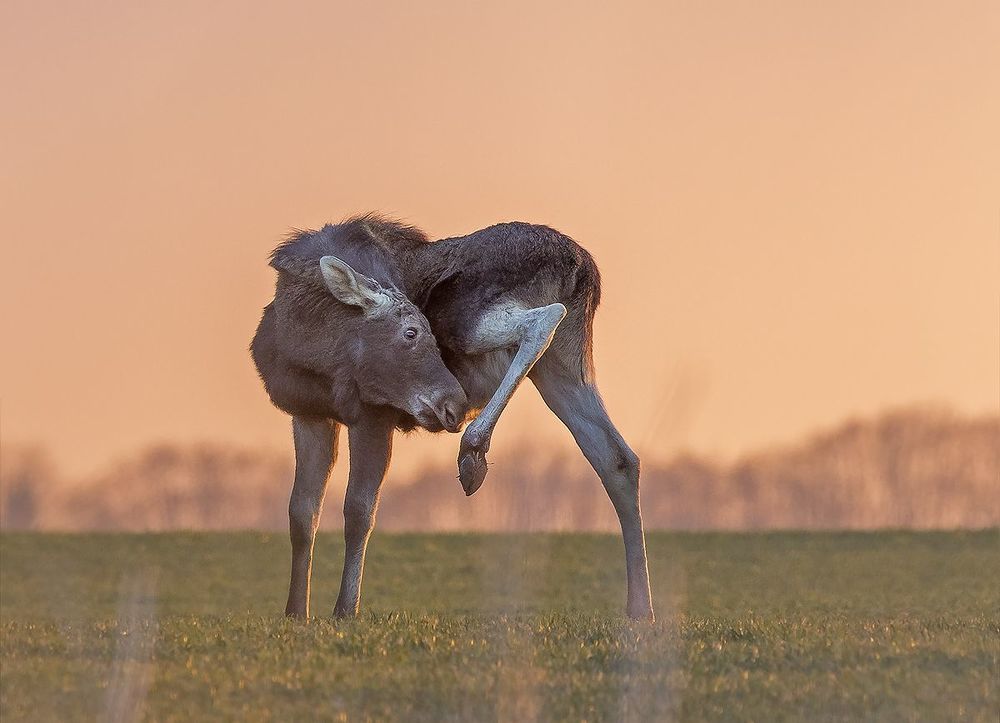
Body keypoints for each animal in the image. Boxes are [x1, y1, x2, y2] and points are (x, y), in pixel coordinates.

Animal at [251, 214, 654, 621]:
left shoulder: (373, 413)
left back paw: (473, 448)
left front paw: (346, 610)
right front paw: (295, 612)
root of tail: (583, 267)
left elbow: (359, 510)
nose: (454, 403)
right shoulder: (308, 414)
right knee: (618, 459)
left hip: (468, 320)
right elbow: (302, 512)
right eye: (411, 332)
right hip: (564, 368)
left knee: (545, 319)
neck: (308, 349)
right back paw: (640, 607)